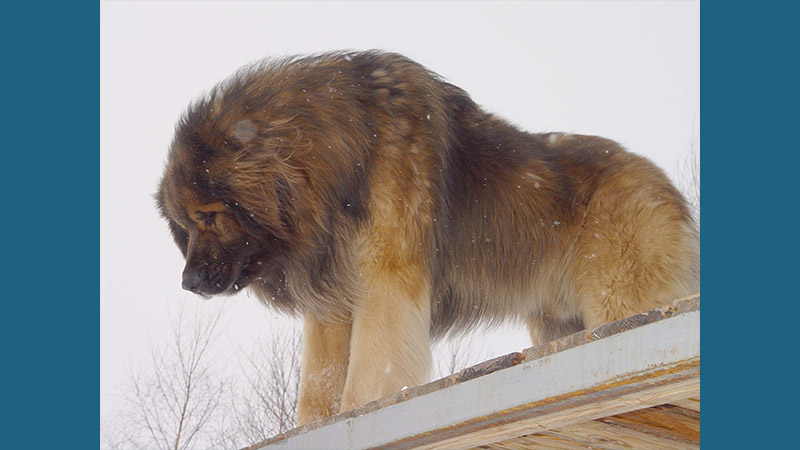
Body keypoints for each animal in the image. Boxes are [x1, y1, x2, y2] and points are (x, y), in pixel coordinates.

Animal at [156, 50, 700, 426]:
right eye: (184, 226)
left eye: (208, 216)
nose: (188, 283)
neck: (335, 159)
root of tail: (664, 185)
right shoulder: (332, 307)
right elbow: (317, 391)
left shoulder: (386, 288)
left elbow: (363, 384)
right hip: (558, 325)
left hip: (620, 304)